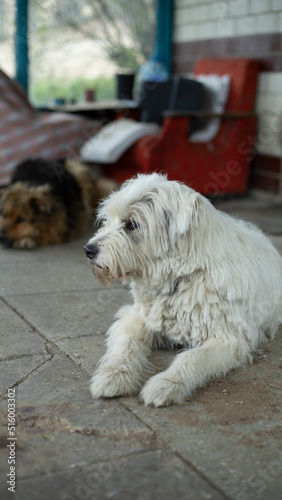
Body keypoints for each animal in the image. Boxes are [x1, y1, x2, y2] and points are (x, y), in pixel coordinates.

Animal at [83, 173, 282, 406]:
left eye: (131, 224)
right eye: (108, 220)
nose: (88, 250)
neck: (183, 277)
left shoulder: (229, 340)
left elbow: (192, 357)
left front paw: (166, 384)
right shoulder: (136, 318)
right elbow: (126, 346)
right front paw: (113, 376)